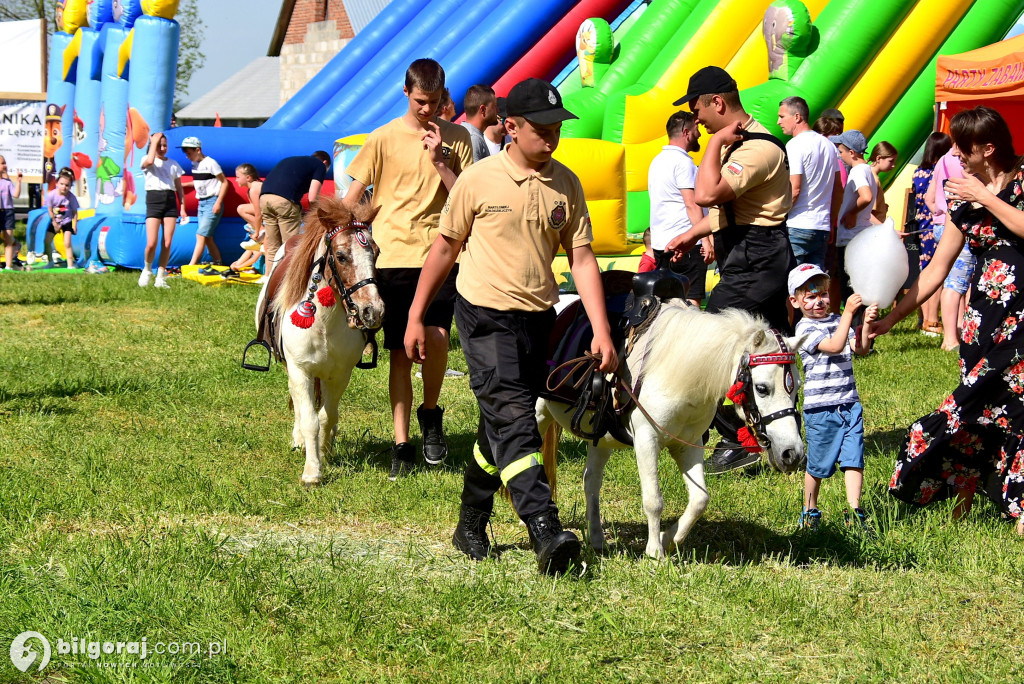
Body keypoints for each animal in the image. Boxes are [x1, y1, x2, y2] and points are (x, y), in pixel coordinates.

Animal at [256, 196, 385, 485]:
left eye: (376, 252)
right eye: (341, 256)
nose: (373, 311)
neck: (324, 325)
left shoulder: (339, 375)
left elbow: (327, 416)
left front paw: (324, 453)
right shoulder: (300, 370)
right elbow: (309, 420)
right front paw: (312, 471)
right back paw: (299, 440)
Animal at [536, 301, 806, 557]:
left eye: (796, 388)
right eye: (761, 388)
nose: (792, 454)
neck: (675, 373)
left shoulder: (689, 444)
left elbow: (700, 500)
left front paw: (668, 538)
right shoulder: (646, 441)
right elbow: (653, 500)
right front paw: (655, 551)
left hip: (601, 439)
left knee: (591, 480)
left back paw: (597, 539)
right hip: (540, 416)